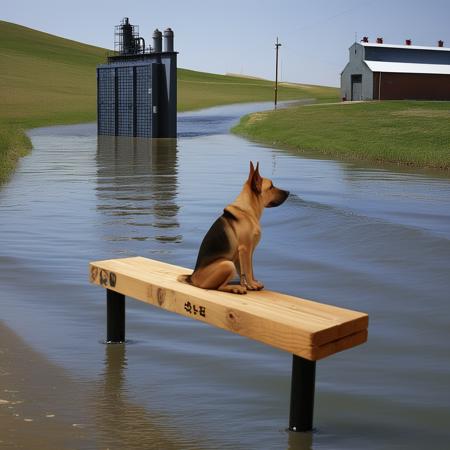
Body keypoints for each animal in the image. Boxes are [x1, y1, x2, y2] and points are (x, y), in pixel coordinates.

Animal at [181, 162, 290, 296]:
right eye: (271, 187)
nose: (288, 192)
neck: (247, 210)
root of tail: (192, 278)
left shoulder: (246, 253)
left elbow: (249, 270)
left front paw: (251, 283)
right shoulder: (245, 249)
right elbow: (248, 270)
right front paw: (251, 284)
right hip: (228, 264)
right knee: (219, 287)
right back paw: (235, 288)